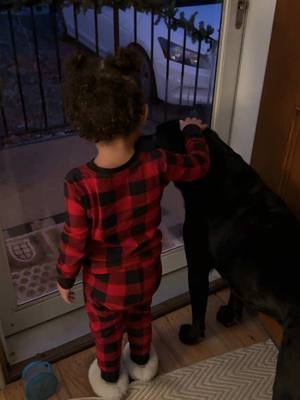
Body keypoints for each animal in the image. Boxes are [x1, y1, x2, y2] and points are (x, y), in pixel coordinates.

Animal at [154, 119, 300, 400]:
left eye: (157, 138)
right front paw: (231, 317)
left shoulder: (197, 267)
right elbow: (236, 293)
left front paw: (192, 335)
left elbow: (198, 307)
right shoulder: (237, 272)